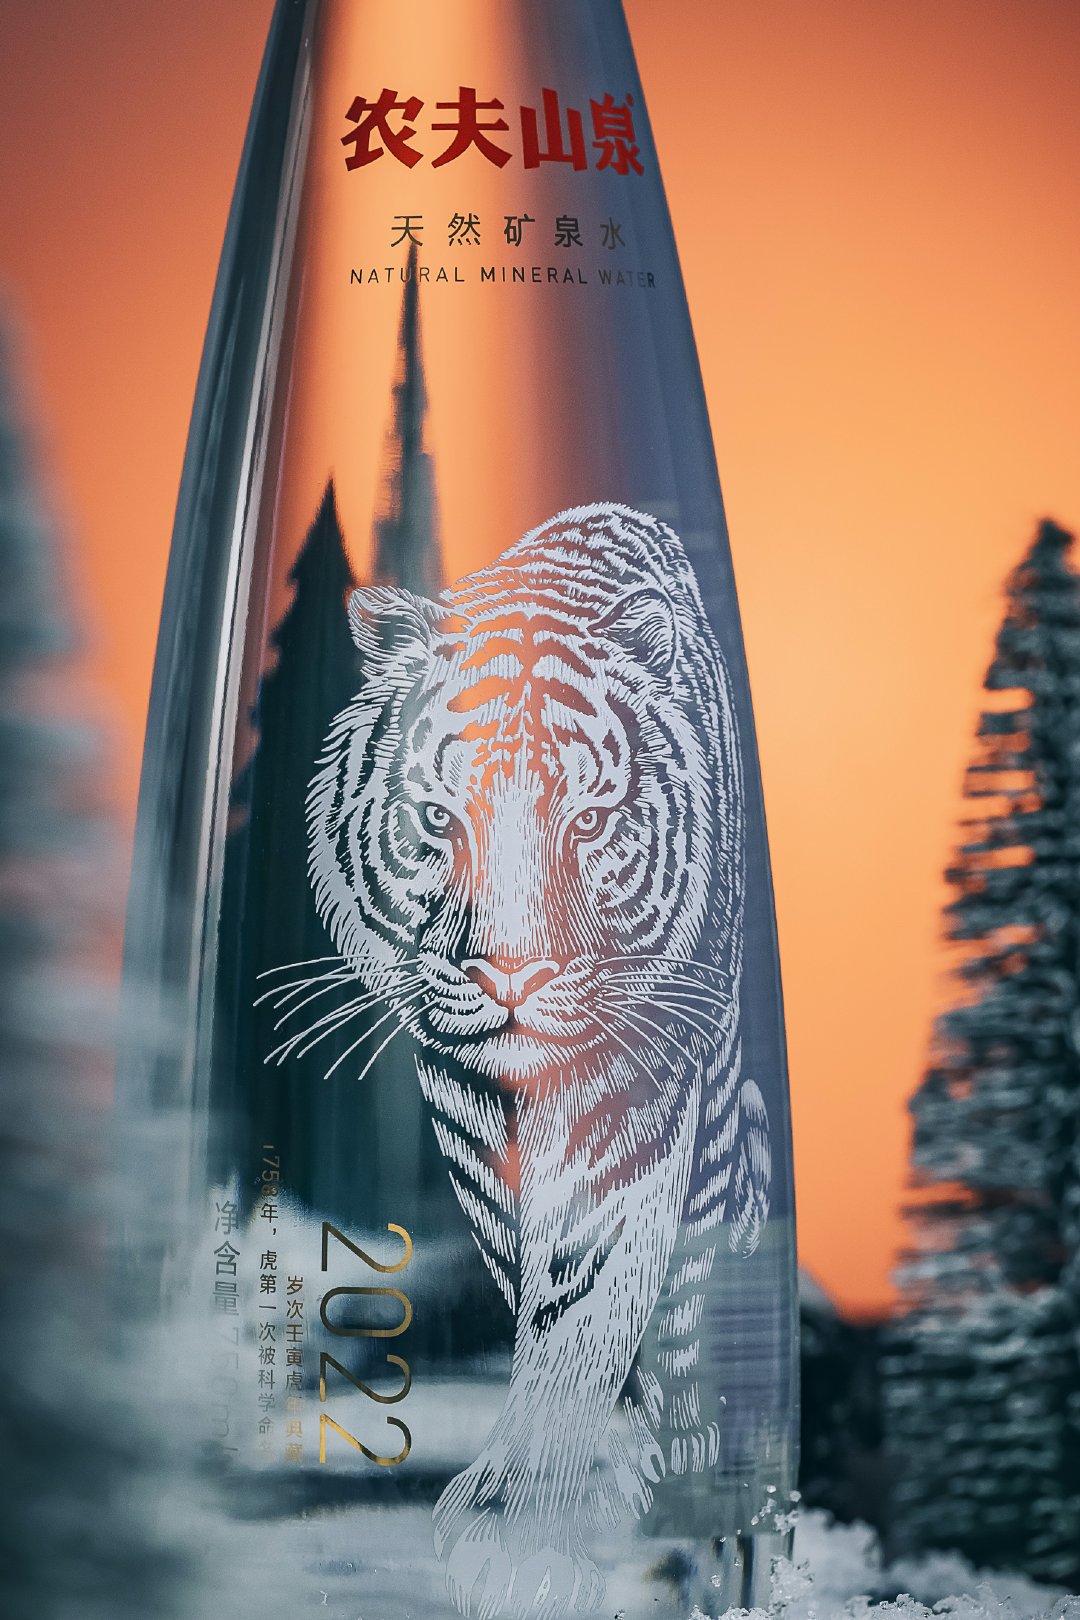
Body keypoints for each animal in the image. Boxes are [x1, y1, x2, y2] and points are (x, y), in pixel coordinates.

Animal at [305, 502, 771, 1619]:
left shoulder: (638, 1088)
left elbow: (588, 1295)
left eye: (588, 820)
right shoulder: (464, 1092)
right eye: (440, 817)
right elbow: (536, 1278)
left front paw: (523, 1531)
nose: (513, 974)